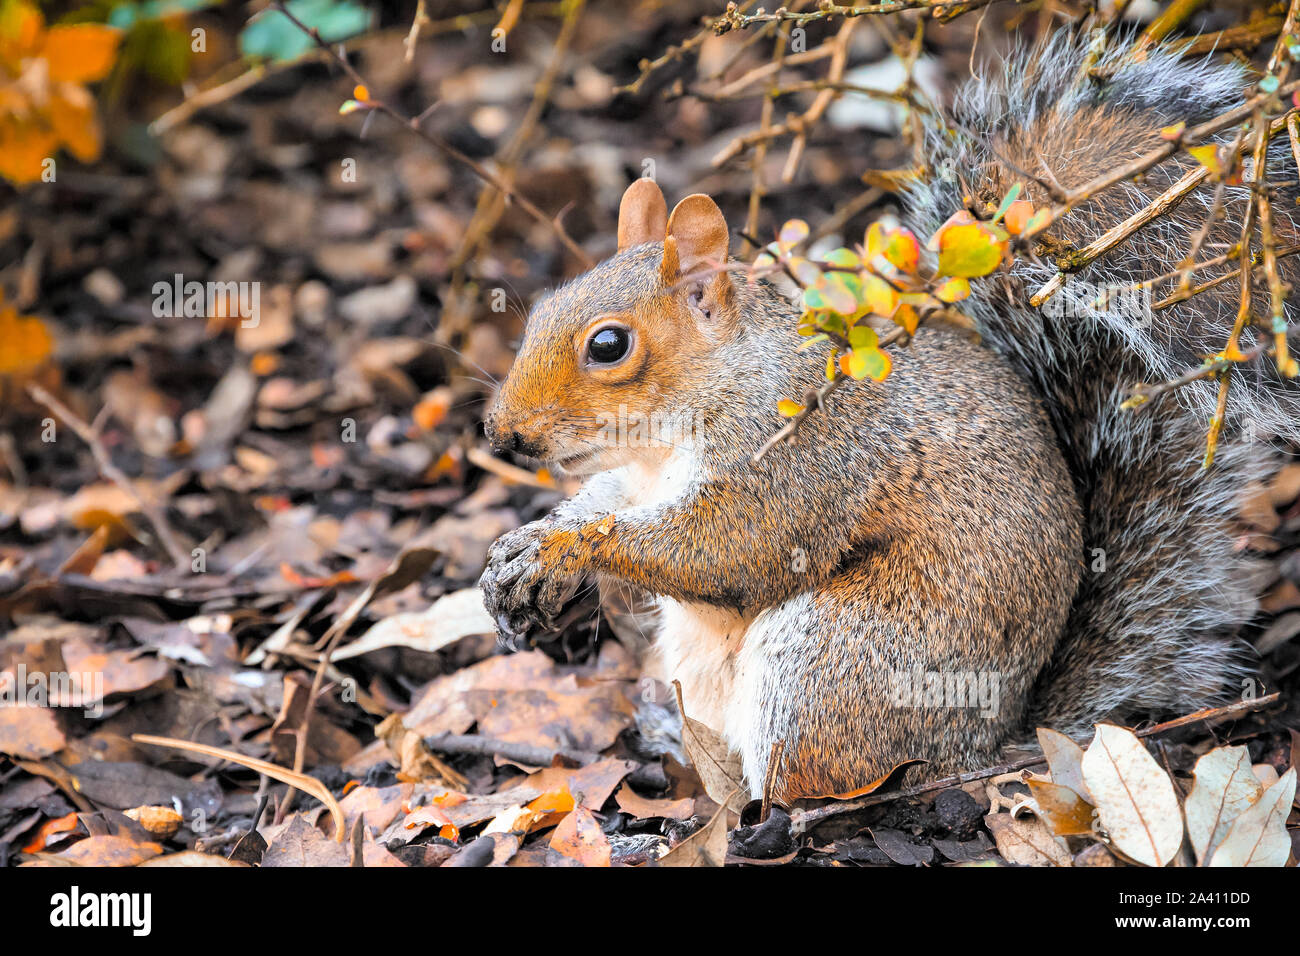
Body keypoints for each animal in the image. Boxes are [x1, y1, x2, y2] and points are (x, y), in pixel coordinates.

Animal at [478, 35, 1300, 802]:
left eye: (609, 346)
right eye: (543, 307)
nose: (502, 433)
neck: (688, 414)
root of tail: (992, 740)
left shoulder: (795, 456)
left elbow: (729, 550)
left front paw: (568, 548)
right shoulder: (638, 475)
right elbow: (608, 499)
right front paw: (527, 545)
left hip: (838, 658)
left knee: (807, 778)